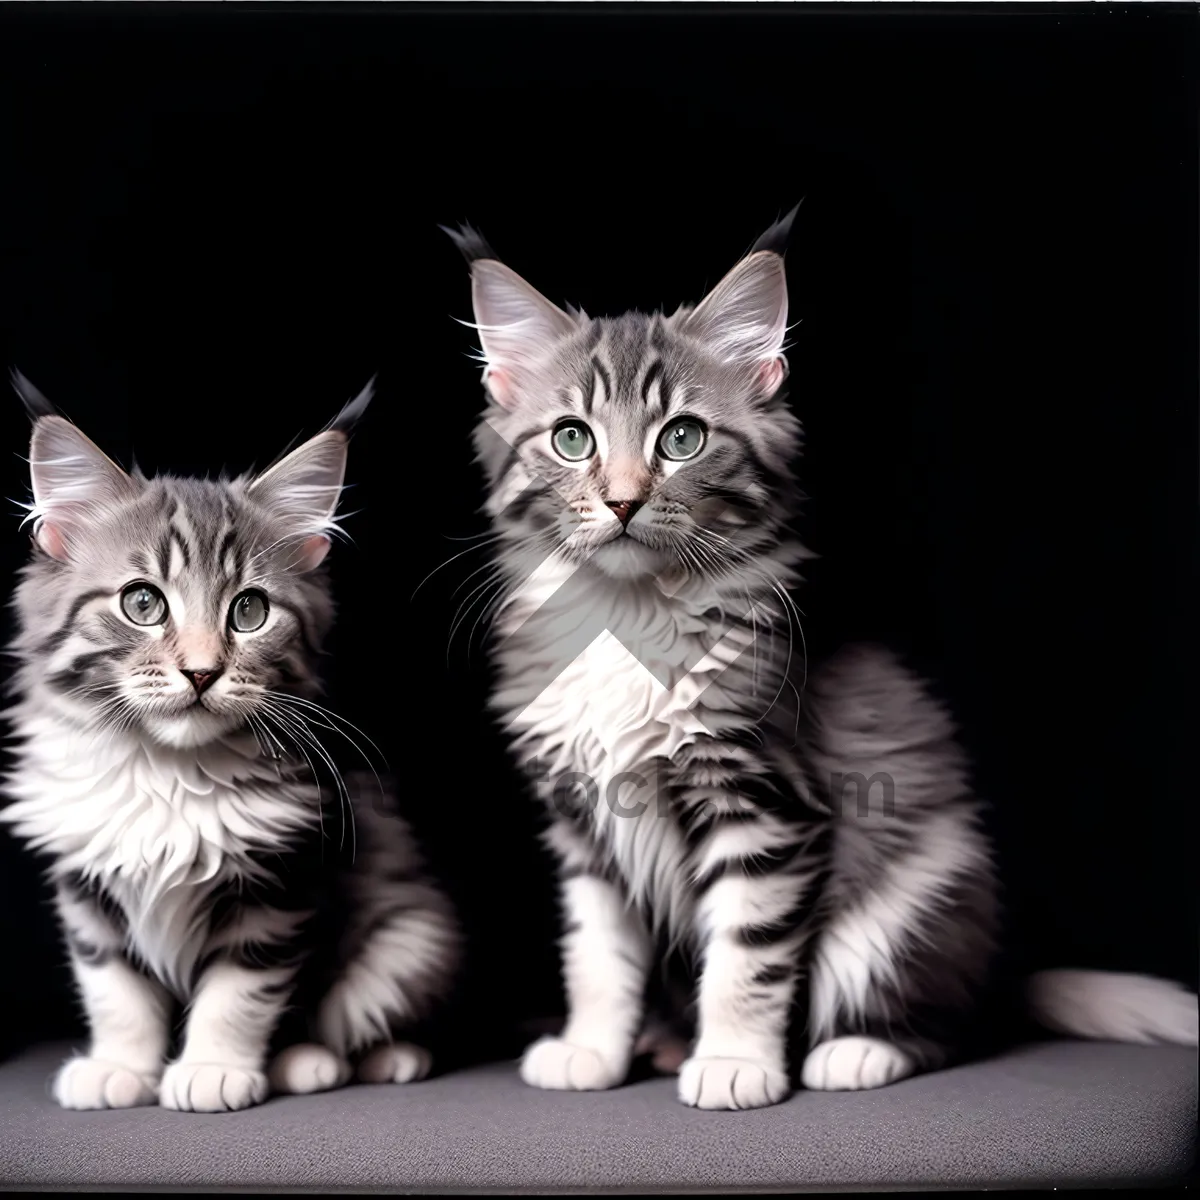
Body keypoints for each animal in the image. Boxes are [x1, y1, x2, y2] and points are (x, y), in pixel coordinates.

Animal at [0, 376, 458, 1113]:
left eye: (249, 611)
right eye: (142, 604)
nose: (201, 671)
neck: (164, 770)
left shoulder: (277, 885)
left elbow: (239, 993)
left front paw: (214, 1069)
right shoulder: (87, 888)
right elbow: (114, 990)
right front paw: (119, 1066)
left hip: (412, 937)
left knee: (364, 1017)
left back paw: (341, 1060)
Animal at [451, 208, 1200, 1113]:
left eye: (682, 438)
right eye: (571, 440)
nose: (623, 501)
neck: (627, 615)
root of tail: (993, 975)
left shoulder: (765, 801)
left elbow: (746, 955)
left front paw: (734, 1062)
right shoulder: (584, 826)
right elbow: (598, 954)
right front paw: (592, 1048)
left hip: (914, 896)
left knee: (940, 1024)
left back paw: (859, 1052)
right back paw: (664, 1042)